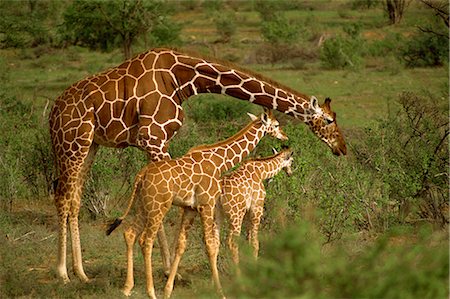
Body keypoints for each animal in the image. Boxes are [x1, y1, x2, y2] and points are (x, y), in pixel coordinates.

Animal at [48, 47, 344, 284]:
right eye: (329, 120)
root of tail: (53, 111)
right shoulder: (153, 137)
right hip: (71, 143)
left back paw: (81, 272)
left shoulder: (158, 141)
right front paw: (171, 271)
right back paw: (62, 273)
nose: (342, 148)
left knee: (74, 199)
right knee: (62, 196)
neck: (183, 79)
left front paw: (170, 269)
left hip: (90, 145)